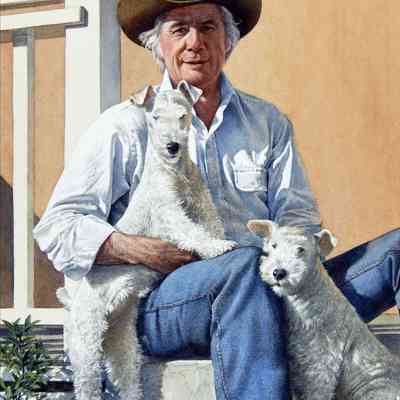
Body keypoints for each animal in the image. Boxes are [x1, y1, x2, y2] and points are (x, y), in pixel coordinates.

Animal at [57, 81, 236, 400]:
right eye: (155, 118)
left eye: (182, 116)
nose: (172, 146)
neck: (174, 173)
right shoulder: (169, 212)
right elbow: (192, 232)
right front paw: (217, 247)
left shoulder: (202, 205)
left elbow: (211, 225)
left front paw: (221, 240)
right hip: (87, 345)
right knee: (87, 384)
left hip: (125, 345)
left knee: (128, 380)